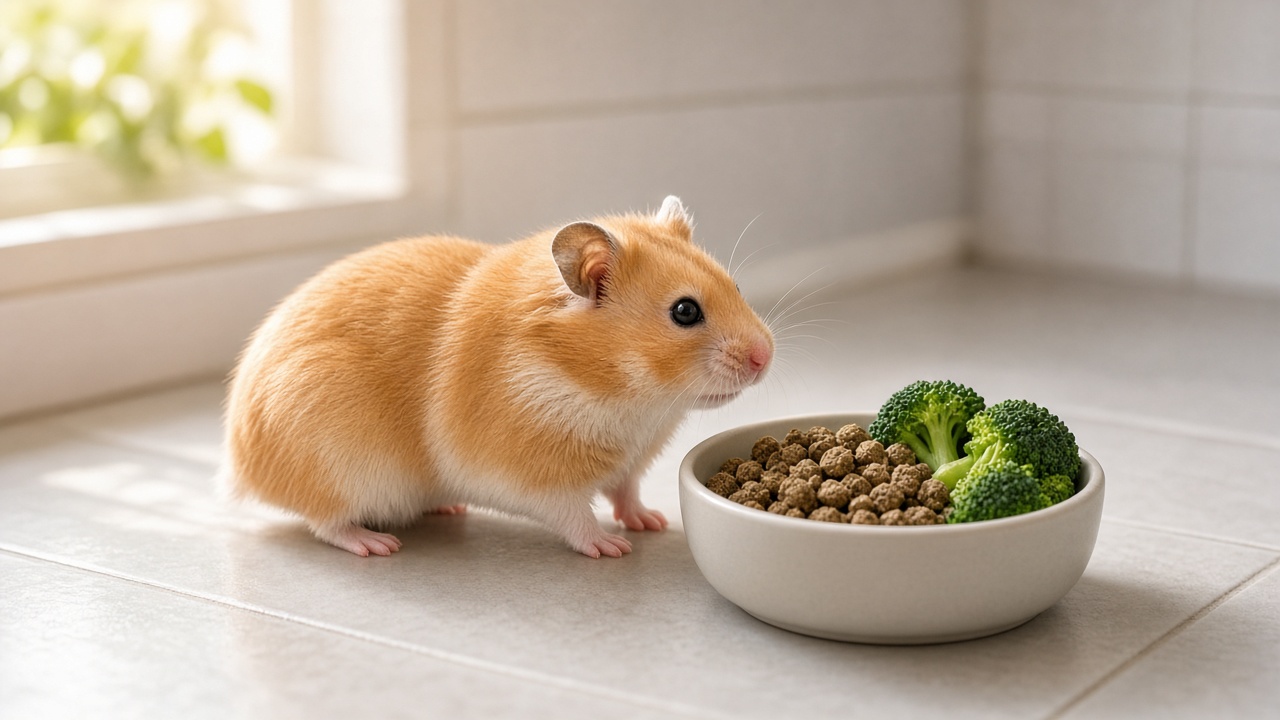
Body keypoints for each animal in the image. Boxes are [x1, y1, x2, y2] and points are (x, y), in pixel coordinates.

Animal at [224, 196, 774, 558]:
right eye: (685, 311)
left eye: (735, 285)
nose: (766, 357)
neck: (631, 398)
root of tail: (239, 466)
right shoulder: (531, 475)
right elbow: (574, 515)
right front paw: (612, 548)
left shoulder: (630, 463)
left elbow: (626, 492)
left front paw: (651, 524)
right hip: (336, 465)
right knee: (325, 523)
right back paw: (377, 543)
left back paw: (446, 512)